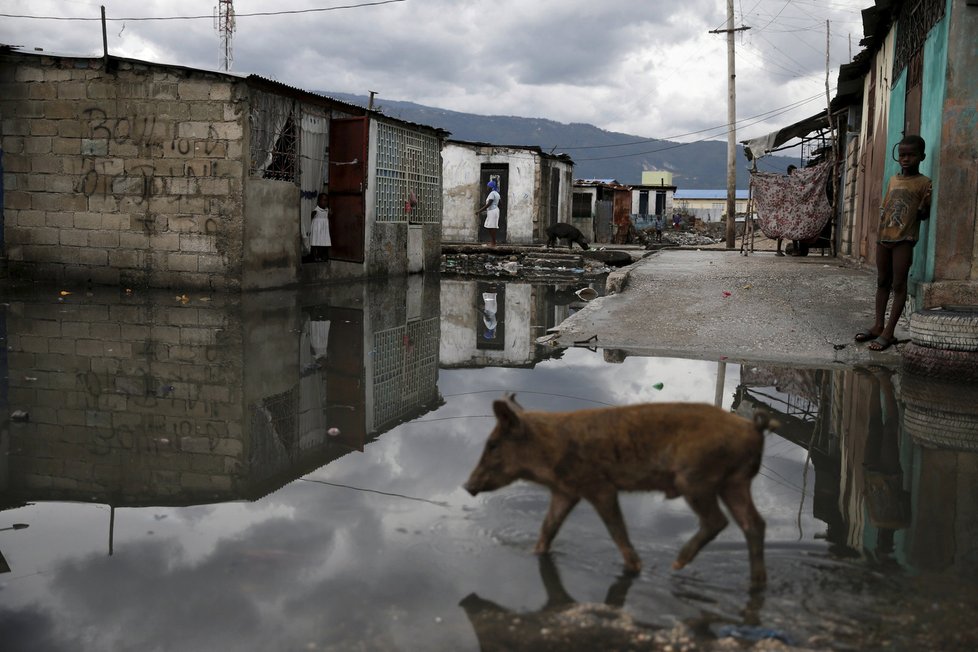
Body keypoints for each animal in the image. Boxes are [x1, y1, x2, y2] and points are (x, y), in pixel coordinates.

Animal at [462, 394, 772, 588]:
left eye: (492, 444)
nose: (467, 485)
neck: (548, 449)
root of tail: (753, 428)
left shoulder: (599, 486)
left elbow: (616, 530)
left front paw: (635, 567)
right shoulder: (565, 491)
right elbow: (548, 527)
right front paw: (533, 552)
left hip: (696, 479)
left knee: (719, 521)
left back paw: (676, 564)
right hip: (735, 482)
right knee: (754, 523)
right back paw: (756, 583)